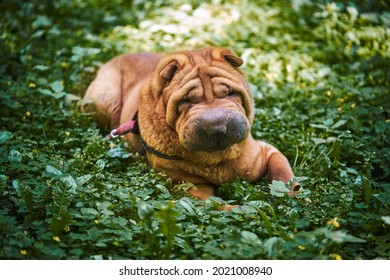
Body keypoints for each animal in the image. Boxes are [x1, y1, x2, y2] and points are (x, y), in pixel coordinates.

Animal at [82, 47, 296, 207]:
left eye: (230, 93)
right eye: (186, 101)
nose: (217, 128)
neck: (216, 160)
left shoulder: (266, 153)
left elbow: (283, 173)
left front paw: (296, 198)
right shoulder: (190, 187)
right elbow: (215, 204)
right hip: (103, 101)